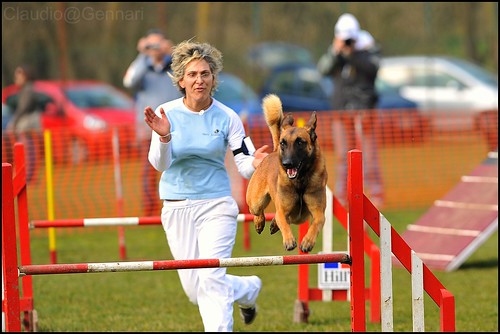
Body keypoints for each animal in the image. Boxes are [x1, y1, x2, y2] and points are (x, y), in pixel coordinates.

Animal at [246, 92, 328, 252]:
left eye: (300, 142)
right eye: (284, 143)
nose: (287, 163)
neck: (300, 182)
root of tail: (273, 152)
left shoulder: (318, 211)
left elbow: (317, 222)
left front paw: (307, 241)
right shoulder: (282, 210)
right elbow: (283, 220)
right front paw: (289, 240)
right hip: (255, 202)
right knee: (259, 212)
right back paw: (259, 222)